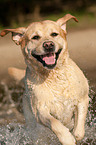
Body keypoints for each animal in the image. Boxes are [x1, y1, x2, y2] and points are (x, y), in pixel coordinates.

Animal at [0, 13, 89, 145]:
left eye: (54, 34)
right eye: (35, 37)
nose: (48, 44)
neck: (53, 75)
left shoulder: (83, 99)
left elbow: (79, 129)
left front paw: (75, 135)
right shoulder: (40, 111)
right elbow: (55, 124)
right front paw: (67, 138)